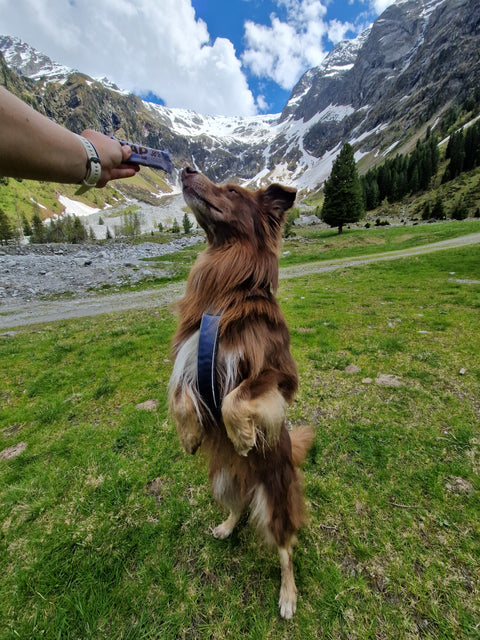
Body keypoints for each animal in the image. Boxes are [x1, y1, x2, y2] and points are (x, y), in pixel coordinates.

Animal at [169, 168, 316, 616]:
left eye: (232, 190)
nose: (186, 169)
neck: (227, 288)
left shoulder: (279, 374)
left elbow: (236, 398)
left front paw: (243, 436)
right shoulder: (190, 359)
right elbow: (180, 398)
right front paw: (190, 435)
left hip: (275, 503)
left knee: (285, 548)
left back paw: (287, 594)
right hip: (223, 482)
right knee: (238, 511)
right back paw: (226, 525)